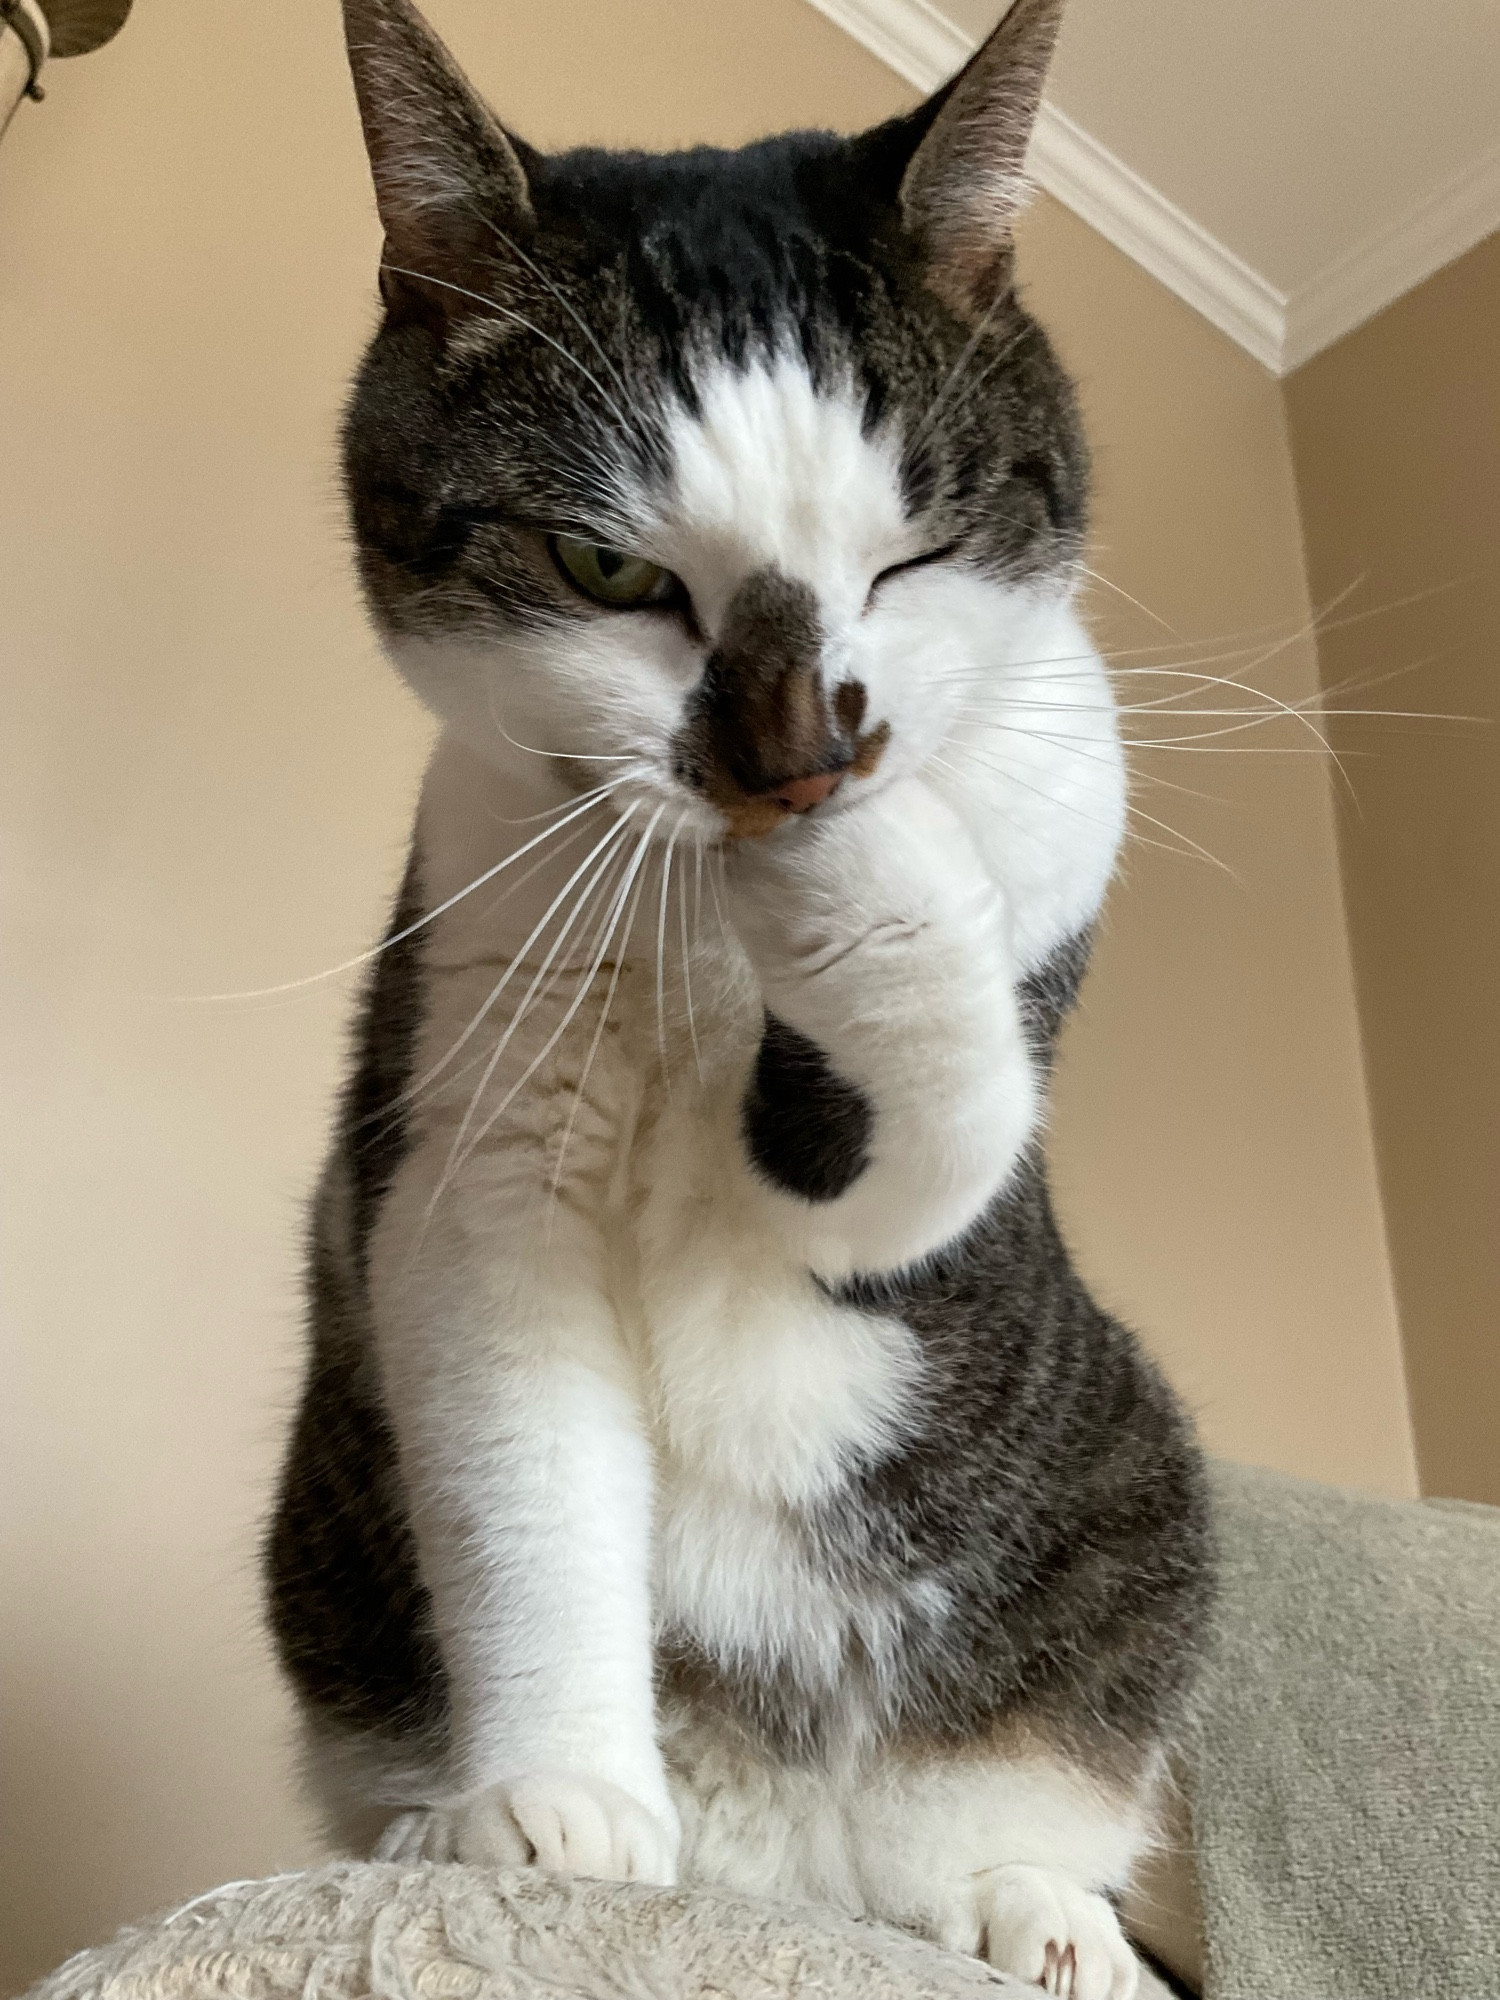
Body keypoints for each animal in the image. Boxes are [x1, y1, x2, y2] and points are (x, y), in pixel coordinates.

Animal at [264, 0, 1216, 1992]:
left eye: (908, 557)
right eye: (608, 568)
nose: (797, 763)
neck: (711, 926)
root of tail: (791, 1884)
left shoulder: (1020, 929)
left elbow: (930, 1117)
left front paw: (881, 873)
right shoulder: (472, 1111)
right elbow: (522, 1458)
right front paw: (555, 1812)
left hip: (1133, 1498)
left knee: (993, 1816)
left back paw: (1032, 1917)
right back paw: (458, 1821)